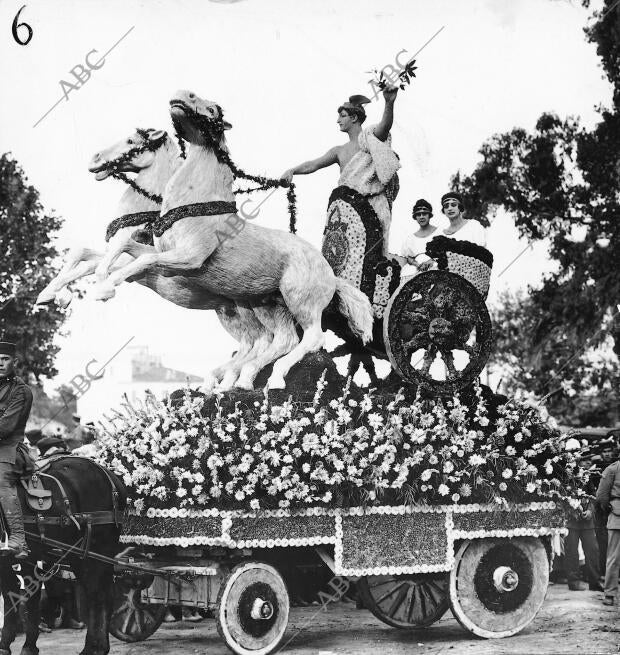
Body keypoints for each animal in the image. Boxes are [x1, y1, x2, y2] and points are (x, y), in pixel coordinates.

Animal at [0, 456, 126, 655]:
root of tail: (112, 477)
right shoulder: (21, 562)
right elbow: (19, 600)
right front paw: (16, 645)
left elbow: (24, 601)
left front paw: (25, 646)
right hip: (80, 556)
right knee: (94, 594)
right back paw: (92, 646)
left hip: (97, 552)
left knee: (99, 595)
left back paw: (96, 647)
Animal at [92, 91, 372, 390]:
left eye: (214, 109)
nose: (182, 95)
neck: (194, 206)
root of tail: (330, 273)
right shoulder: (166, 261)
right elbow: (123, 252)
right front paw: (94, 280)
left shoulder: (188, 258)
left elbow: (140, 257)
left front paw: (103, 289)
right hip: (268, 306)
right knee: (282, 340)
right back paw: (239, 382)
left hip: (300, 301)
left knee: (311, 338)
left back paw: (270, 380)